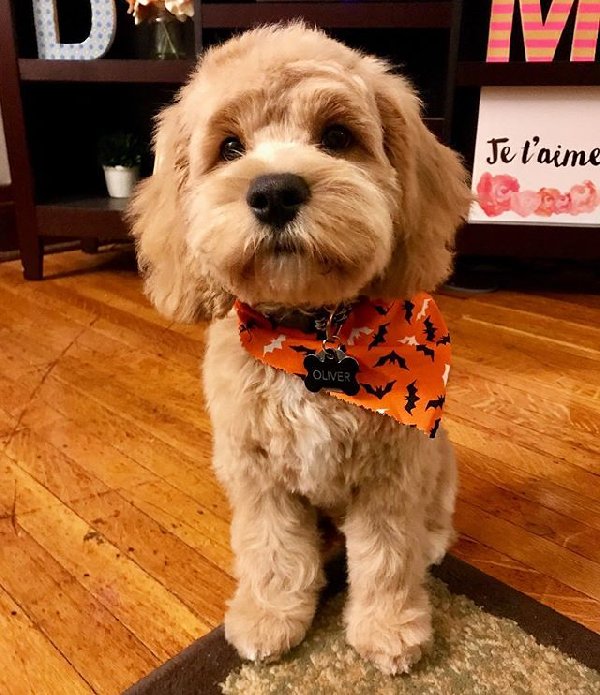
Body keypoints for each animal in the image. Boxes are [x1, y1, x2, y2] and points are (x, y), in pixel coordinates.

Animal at [129, 21, 472, 676]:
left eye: (337, 136)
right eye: (230, 147)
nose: (274, 193)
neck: (314, 333)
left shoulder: (391, 476)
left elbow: (388, 558)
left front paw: (389, 627)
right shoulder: (257, 472)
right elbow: (272, 550)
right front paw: (270, 615)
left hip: (437, 456)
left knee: (432, 520)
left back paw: (434, 541)